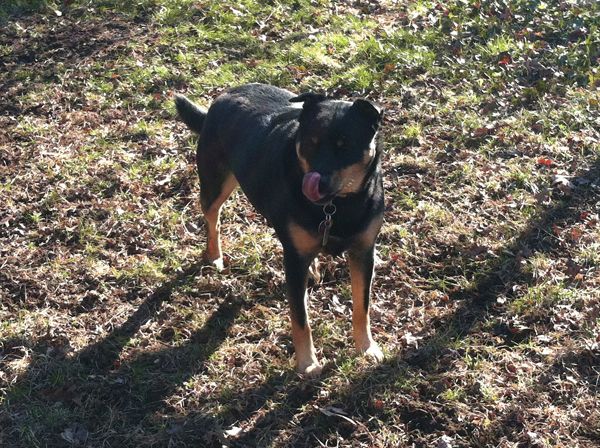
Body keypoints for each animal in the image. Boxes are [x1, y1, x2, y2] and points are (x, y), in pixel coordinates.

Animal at [176, 84, 386, 378]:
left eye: (345, 146)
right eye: (310, 142)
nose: (316, 181)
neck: (336, 206)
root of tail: (224, 96)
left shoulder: (364, 252)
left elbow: (361, 306)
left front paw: (366, 348)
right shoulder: (294, 262)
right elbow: (300, 319)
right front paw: (308, 363)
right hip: (215, 182)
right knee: (212, 216)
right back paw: (214, 254)